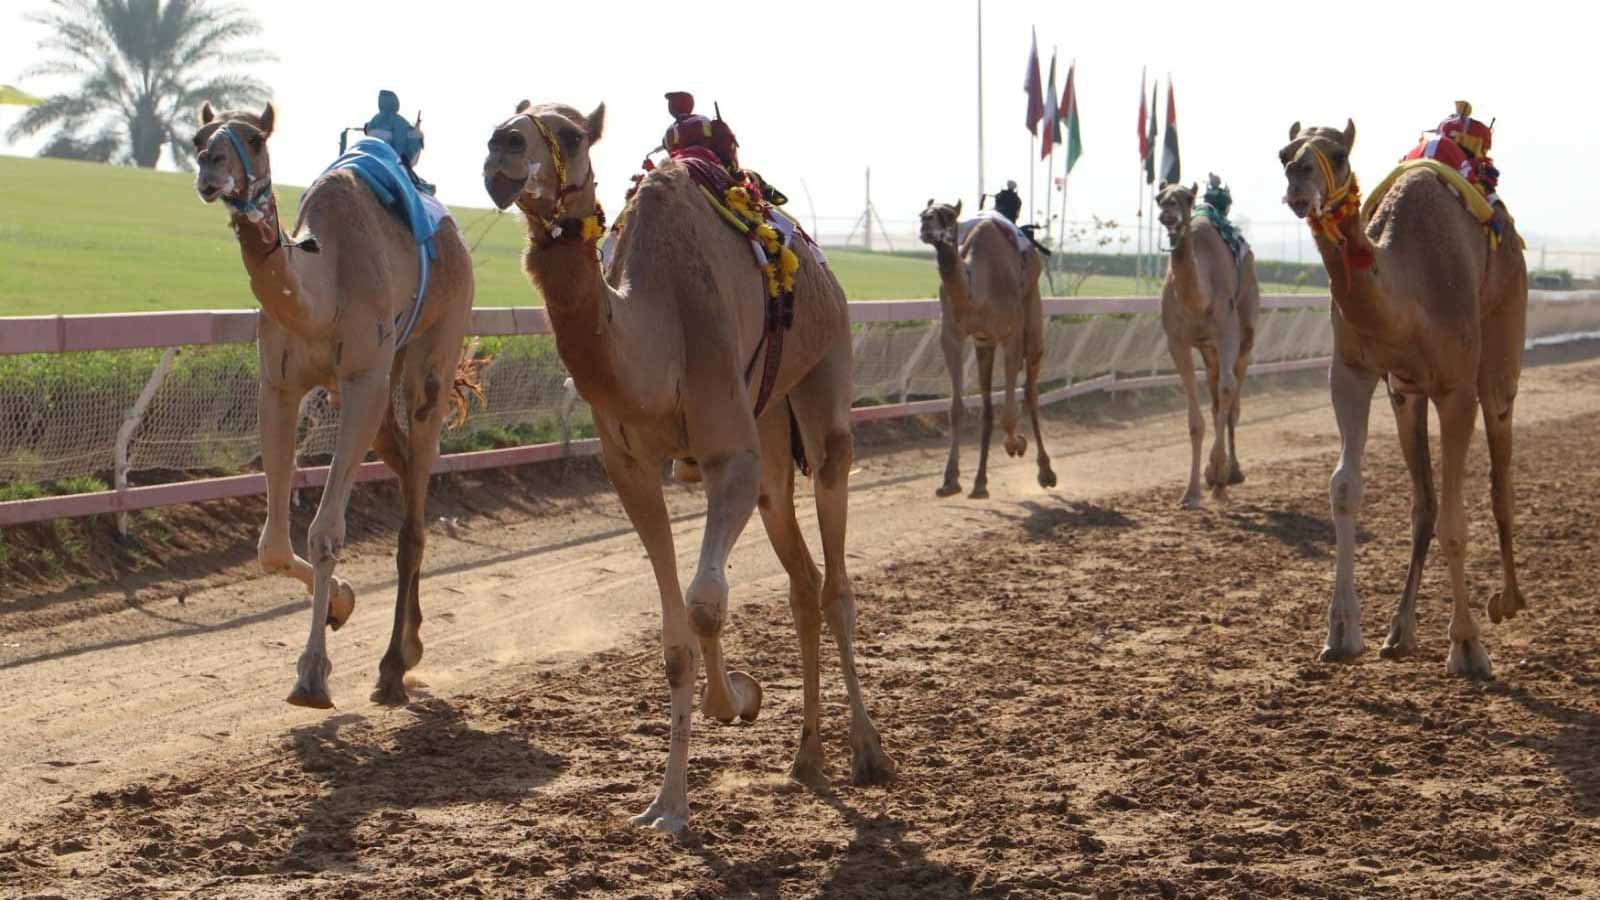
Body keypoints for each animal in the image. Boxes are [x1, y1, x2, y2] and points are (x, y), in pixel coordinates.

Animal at [192, 103, 473, 707]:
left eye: (254, 137)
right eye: (198, 137)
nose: (211, 167)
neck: (322, 289)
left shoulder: (363, 379)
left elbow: (325, 534)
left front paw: (313, 675)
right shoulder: (279, 386)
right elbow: (272, 546)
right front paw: (341, 603)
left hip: (434, 346)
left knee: (416, 489)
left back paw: (393, 667)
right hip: (380, 385)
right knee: (404, 467)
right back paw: (406, 649)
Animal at [480, 101, 896, 832]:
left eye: (572, 134)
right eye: (511, 116)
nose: (501, 147)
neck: (658, 327)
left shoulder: (728, 455)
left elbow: (706, 605)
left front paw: (735, 700)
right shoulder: (630, 469)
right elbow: (675, 635)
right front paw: (665, 803)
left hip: (826, 377)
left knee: (836, 569)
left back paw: (868, 753)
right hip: (769, 430)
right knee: (803, 579)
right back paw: (806, 759)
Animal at [921, 199, 1056, 496]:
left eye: (949, 216)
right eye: (923, 213)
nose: (925, 224)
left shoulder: (1011, 334)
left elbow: (1010, 413)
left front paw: (1017, 444)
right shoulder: (952, 335)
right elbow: (956, 409)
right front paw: (949, 480)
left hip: (1032, 314)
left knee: (1031, 391)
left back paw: (1046, 472)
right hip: (985, 342)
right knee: (987, 407)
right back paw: (980, 482)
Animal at [1158, 178, 1254, 509]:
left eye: (1186, 198)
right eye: (1159, 197)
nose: (1168, 212)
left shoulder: (1228, 335)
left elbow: (1227, 393)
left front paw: (1218, 476)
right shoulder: (1178, 343)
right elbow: (1195, 420)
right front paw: (1191, 492)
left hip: (1246, 335)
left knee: (1232, 398)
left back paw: (1231, 474)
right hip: (1208, 350)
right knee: (1216, 402)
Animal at [1280, 117, 1529, 672]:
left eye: (1339, 154)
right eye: (1284, 153)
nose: (1298, 179)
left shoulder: (1456, 389)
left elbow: (1458, 520)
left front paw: (1467, 647)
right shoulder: (1351, 371)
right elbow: (1345, 489)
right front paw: (1342, 633)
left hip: (1503, 340)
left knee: (1499, 477)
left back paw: (1508, 602)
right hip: (1407, 396)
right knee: (1424, 503)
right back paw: (1400, 631)